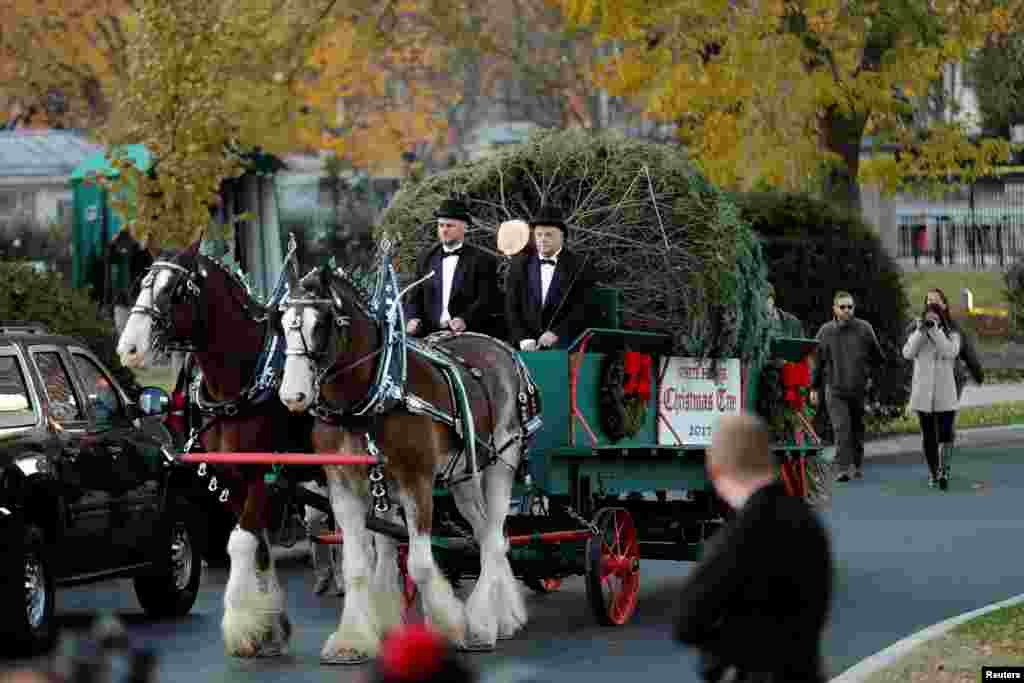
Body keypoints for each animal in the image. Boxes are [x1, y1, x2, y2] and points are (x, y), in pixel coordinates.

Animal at [117, 242, 299, 659]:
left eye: (174, 291)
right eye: (142, 283)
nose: (128, 348)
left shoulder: (265, 476)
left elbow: (242, 541)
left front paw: (241, 626)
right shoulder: (231, 478)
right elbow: (257, 545)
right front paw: (271, 627)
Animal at [280, 264, 536, 663]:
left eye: (321, 323)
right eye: (282, 323)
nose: (292, 395)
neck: (373, 395)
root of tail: (501, 347)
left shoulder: (417, 481)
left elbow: (419, 563)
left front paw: (449, 627)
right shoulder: (345, 484)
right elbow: (358, 565)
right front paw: (353, 639)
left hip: (502, 461)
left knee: (495, 537)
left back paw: (481, 623)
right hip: (463, 476)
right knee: (486, 534)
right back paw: (504, 616)